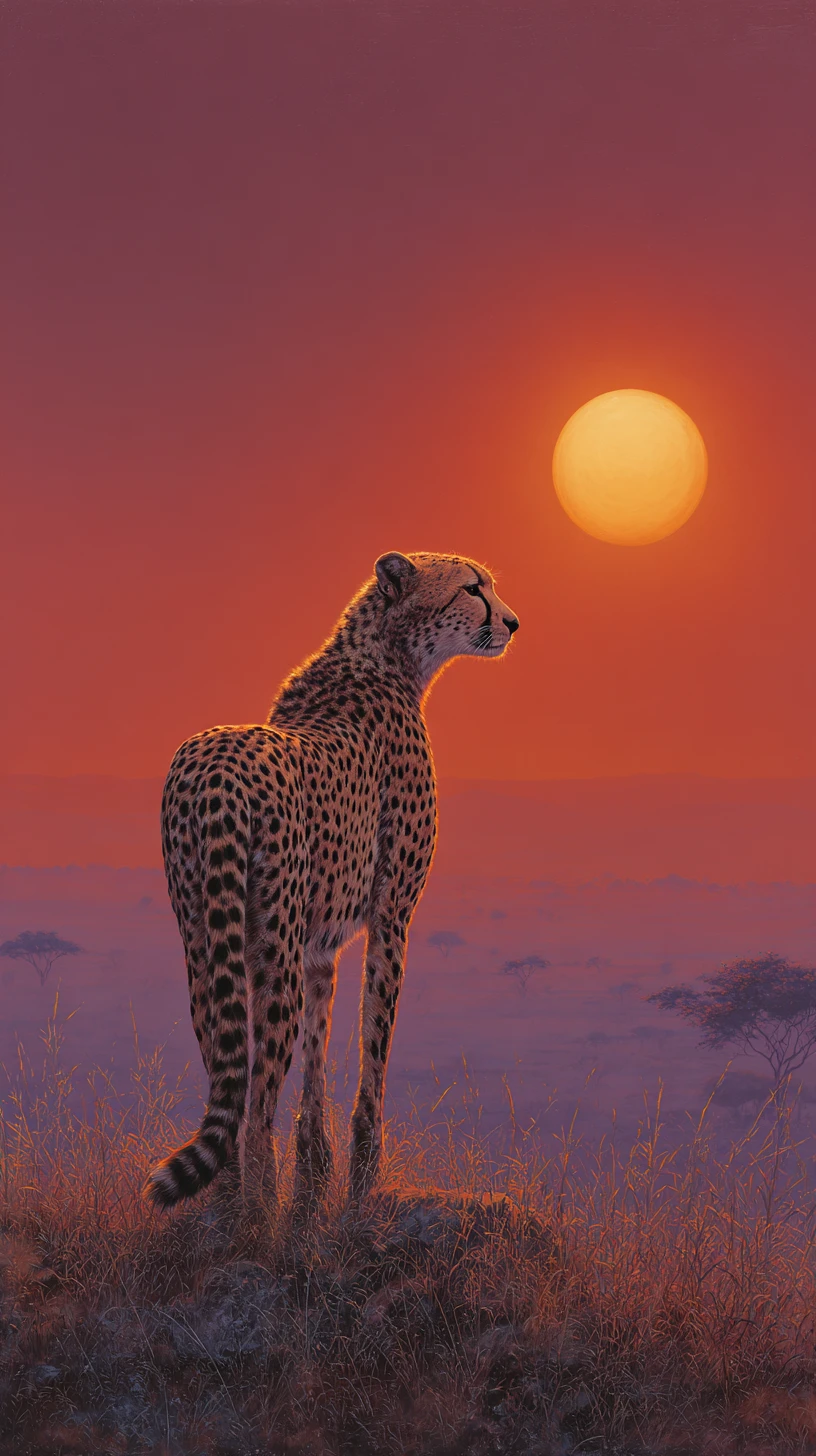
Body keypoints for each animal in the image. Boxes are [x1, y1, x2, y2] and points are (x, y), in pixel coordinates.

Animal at [144, 551, 519, 1210]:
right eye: (473, 588)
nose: (514, 622)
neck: (389, 654)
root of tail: (212, 766)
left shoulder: (318, 945)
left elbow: (319, 1044)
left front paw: (316, 1161)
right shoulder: (392, 913)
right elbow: (376, 1034)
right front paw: (364, 1168)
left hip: (202, 939)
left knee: (226, 1073)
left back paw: (227, 1201)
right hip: (272, 952)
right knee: (255, 1107)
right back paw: (257, 1217)